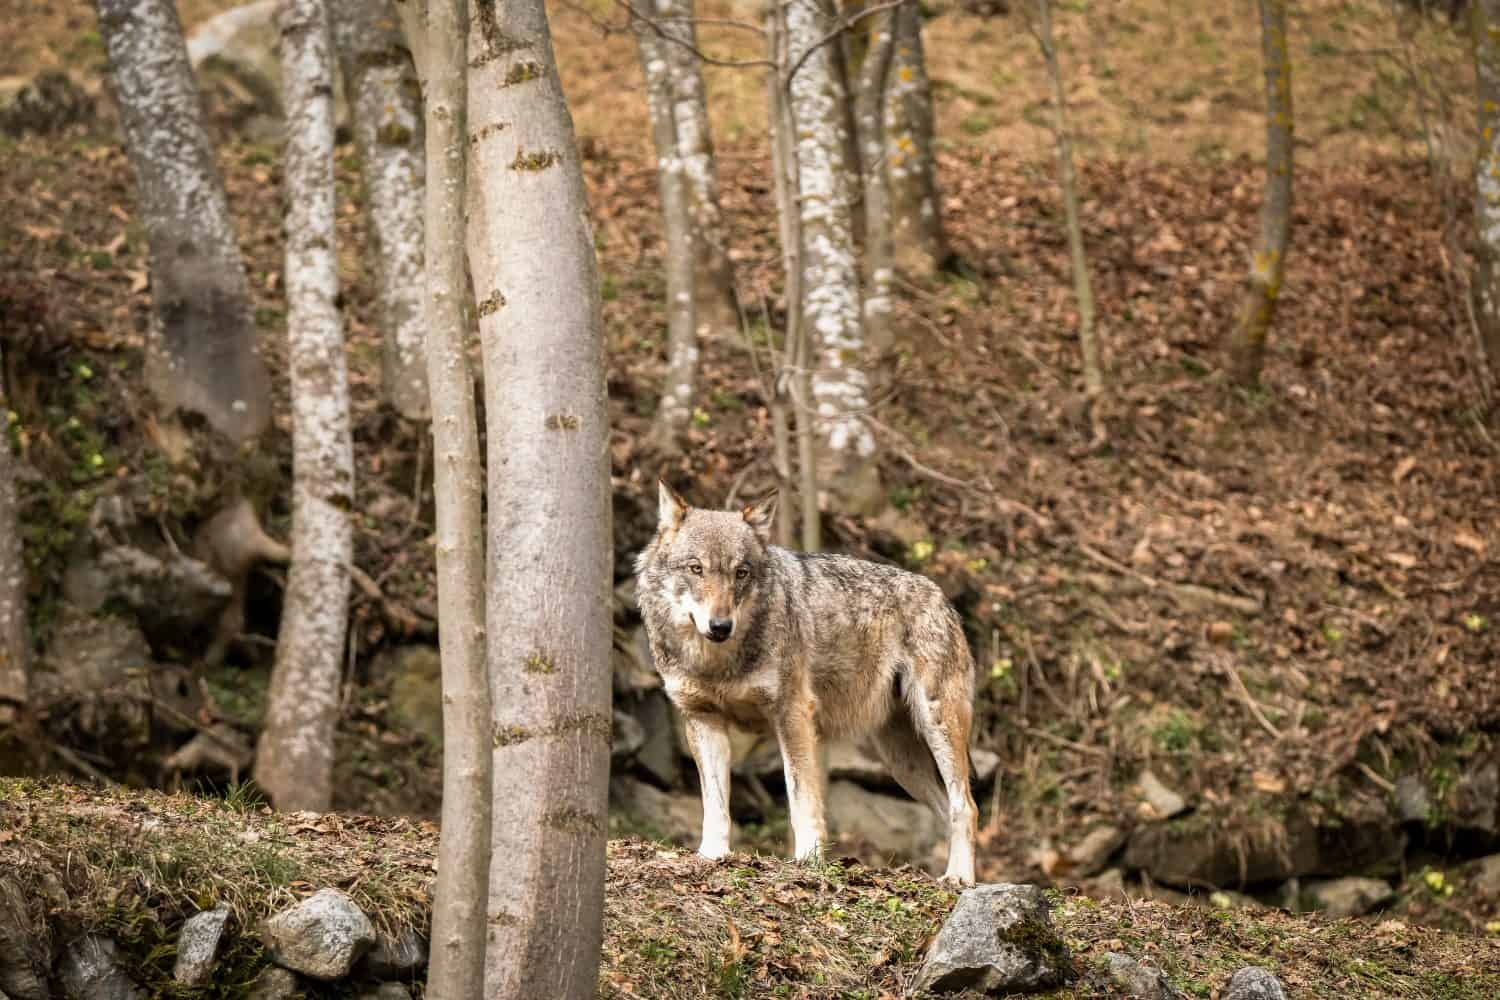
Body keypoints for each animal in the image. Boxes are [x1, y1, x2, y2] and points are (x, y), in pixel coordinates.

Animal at [636, 485, 978, 881]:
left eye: (741, 572)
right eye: (696, 568)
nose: (721, 627)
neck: (718, 661)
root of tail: (943, 599)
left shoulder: (793, 714)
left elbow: (801, 795)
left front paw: (808, 860)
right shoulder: (703, 720)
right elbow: (716, 805)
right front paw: (711, 855)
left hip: (936, 727)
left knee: (966, 806)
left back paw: (960, 878)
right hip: (901, 762)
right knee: (948, 808)